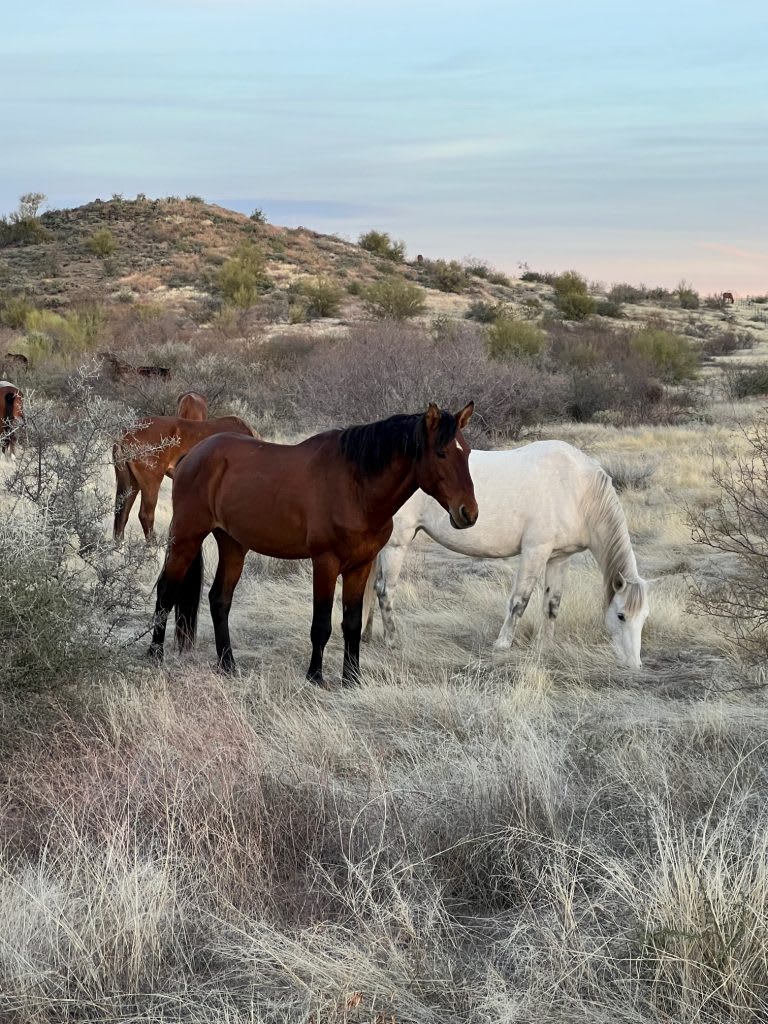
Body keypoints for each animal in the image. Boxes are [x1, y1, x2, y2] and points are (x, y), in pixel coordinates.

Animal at [147, 403, 477, 687]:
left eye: (468, 452)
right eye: (441, 453)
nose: (468, 513)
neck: (355, 487)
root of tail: (191, 455)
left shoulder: (360, 566)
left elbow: (352, 624)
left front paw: (352, 679)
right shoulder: (326, 562)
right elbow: (321, 624)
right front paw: (315, 677)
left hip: (233, 545)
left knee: (219, 600)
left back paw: (228, 664)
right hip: (186, 537)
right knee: (166, 592)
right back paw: (154, 656)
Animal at [363, 440, 653, 669]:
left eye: (644, 617)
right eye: (621, 615)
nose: (634, 664)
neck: (577, 489)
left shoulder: (559, 558)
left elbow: (552, 604)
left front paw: (544, 646)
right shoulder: (535, 551)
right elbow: (519, 601)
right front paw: (502, 644)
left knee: (371, 587)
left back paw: (366, 634)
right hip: (396, 544)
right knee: (385, 590)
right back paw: (392, 640)